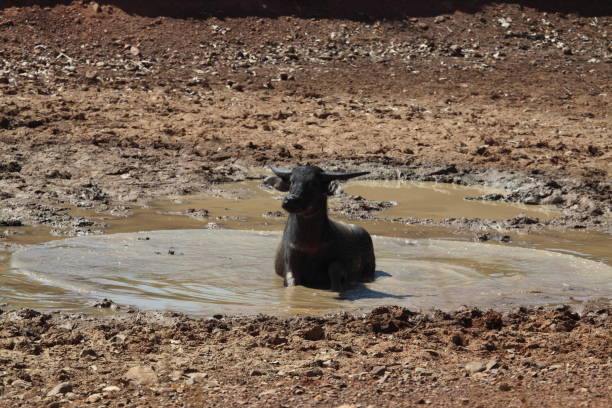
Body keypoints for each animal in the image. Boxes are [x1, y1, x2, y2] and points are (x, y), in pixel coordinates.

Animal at [268, 164, 378, 292]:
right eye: (292, 181)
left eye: (313, 183)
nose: (289, 201)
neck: (309, 243)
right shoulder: (290, 261)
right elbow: (291, 280)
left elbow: (335, 268)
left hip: (370, 264)